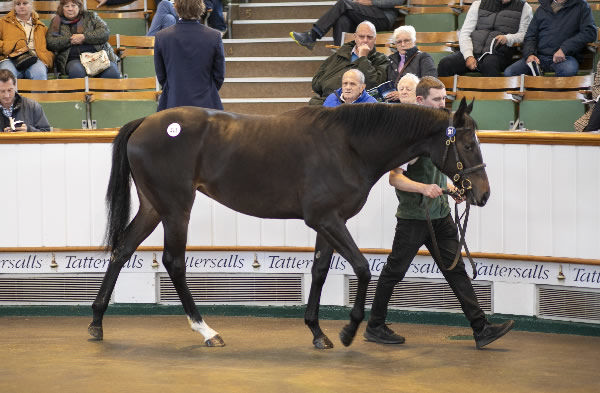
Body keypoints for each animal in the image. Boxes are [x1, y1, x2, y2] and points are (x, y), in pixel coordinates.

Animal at [90, 97, 492, 346]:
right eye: (468, 144)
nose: (482, 194)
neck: (348, 146)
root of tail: (146, 122)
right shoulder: (326, 219)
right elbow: (362, 268)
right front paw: (348, 330)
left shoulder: (328, 223)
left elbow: (319, 270)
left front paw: (317, 332)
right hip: (176, 209)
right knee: (173, 262)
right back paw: (206, 330)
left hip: (153, 207)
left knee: (122, 250)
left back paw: (96, 322)